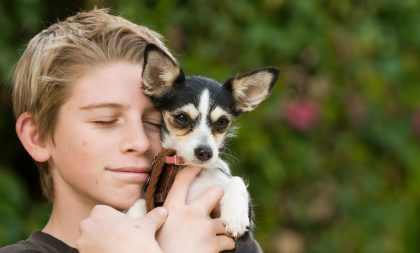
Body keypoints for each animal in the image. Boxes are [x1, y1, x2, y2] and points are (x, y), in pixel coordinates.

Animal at [127, 43, 278, 251]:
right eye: (182, 117)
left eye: (222, 122)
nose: (205, 153)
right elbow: (142, 201)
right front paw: (133, 218)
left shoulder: (246, 233)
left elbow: (237, 180)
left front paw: (235, 215)